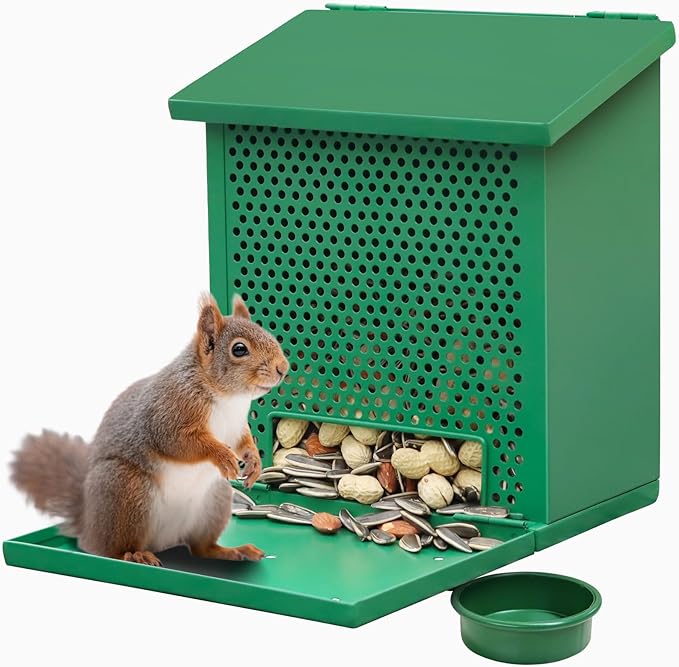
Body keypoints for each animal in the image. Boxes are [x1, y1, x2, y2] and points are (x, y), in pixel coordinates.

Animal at [10, 293, 288, 566]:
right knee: (113, 549)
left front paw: (253, 462)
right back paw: (134, 554)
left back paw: (232, 551)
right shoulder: (167, 415)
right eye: (239, 349)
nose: (283, 368)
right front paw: (222, 456)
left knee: (200, 548)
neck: (227, 397)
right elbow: (181, 443)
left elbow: (244, 442)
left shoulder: (237, 425)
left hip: (214, 501)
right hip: (126, 491)